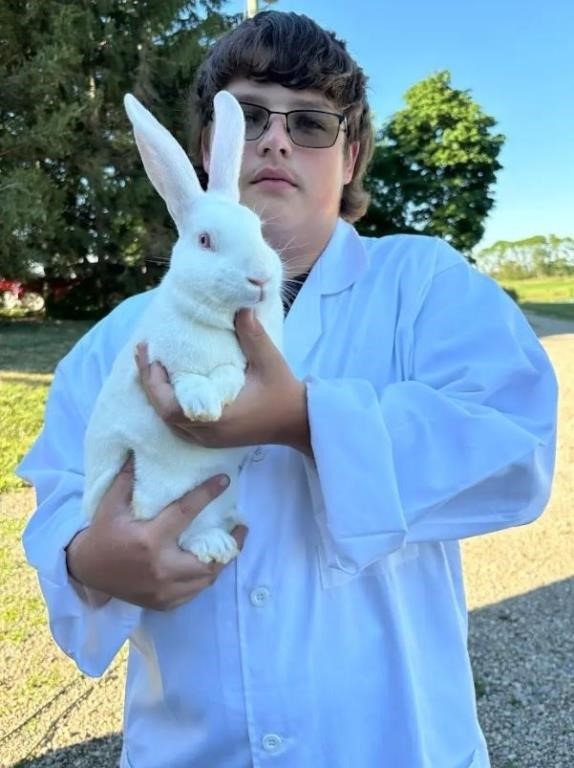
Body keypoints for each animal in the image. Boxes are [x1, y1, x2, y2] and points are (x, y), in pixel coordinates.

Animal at [82, 94, 284, 564]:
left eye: (260, 230)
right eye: (205, 241)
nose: (261, 278)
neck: (219, 321)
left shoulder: (238, 362)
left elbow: (229, 373)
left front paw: (219, 397)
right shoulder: (164, 362)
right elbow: (187, 378)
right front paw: (202, 407)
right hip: (155, 491)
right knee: (170, 529)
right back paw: (212, 546)